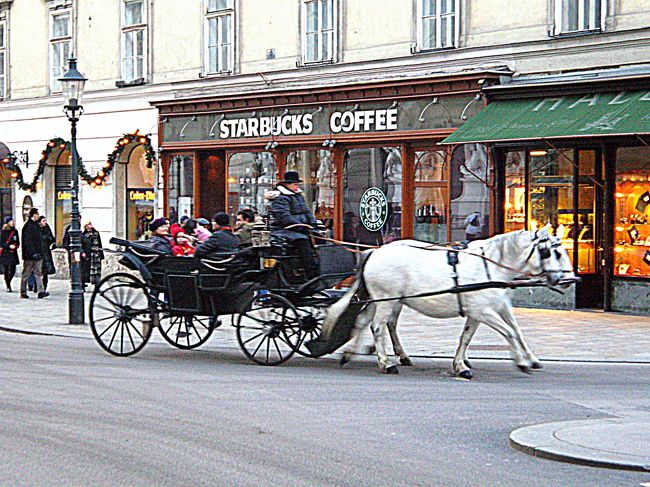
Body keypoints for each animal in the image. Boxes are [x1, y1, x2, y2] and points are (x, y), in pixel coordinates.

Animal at [320, 227, 572, 380]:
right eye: (555, 252)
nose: (568, 280)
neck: (491, 264)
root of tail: (375, 252)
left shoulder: (487, 310)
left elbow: (476, 336)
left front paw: (461, 366)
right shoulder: (483, 311)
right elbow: (509, 332)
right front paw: (521, 362)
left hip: (382, 300)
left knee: (363, 321)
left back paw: (350, 354)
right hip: (385, 300)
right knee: (377, 326)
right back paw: (386, 363)